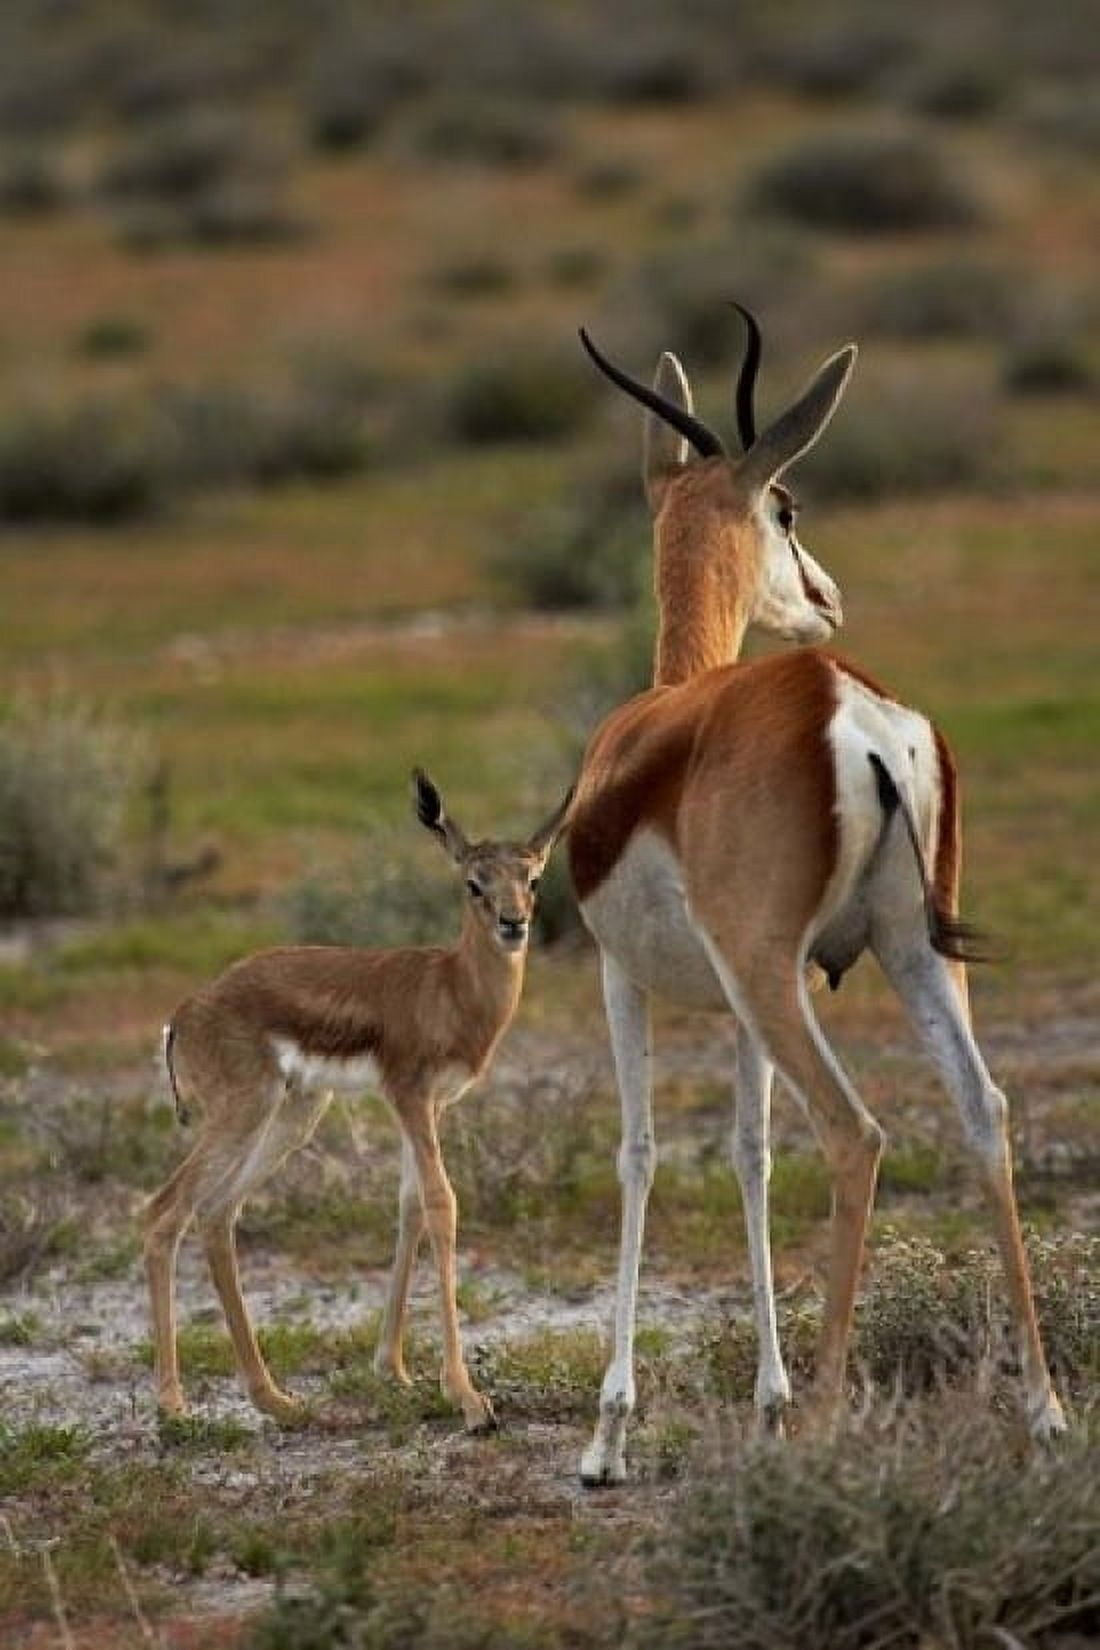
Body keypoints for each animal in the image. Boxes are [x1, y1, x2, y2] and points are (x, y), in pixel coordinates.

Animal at [142, 769, 573, 1431]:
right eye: (473, 882)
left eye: (532, 878)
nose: (512, 924)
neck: (449, 988)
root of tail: (183, 1015)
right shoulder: (409, 1097)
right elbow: (443, 1205)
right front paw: (469, 1398)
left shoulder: (428, 1107)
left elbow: (411, 1208)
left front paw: (392, 1368)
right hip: (244, 1114)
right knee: (164, 1212)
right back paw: (173, 1406)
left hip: (294, 1115)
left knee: (217, 1212)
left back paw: (274, 1399)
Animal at [567, 316, 1067, 1485]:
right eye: (788, 509)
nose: (825, 598)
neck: (658, 723)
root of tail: (852, 709)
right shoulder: (749, 997)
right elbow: (748, 1159)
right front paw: (766, 1403)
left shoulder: (631, 975)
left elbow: (640, 1156)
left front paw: (609, 1436)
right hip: (908, 954)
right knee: (982, 1110)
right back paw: (1044, 1415)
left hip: (781, 978)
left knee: (854, 1132)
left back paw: (835, 1424)